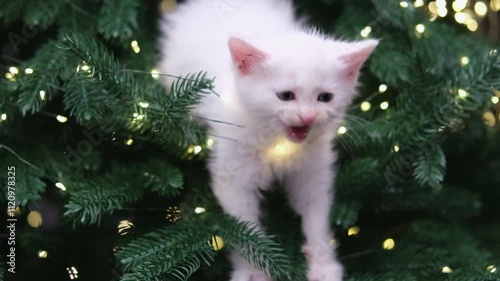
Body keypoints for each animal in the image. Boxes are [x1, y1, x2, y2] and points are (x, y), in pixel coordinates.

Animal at [158, 1, 376, 278]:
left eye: (325, 97)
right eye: (286, 95)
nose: (307, 116)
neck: (278, 143)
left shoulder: (313, 171)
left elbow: (316, 216)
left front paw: (323, 265)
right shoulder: (233, 176)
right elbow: (245, 231)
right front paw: (254, 270)